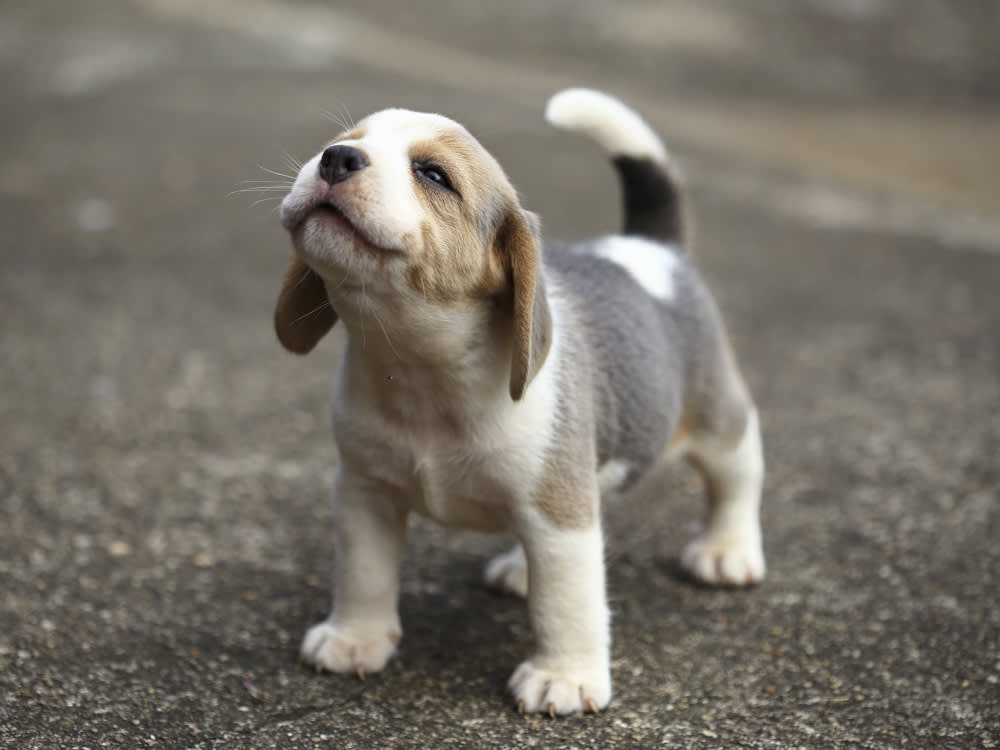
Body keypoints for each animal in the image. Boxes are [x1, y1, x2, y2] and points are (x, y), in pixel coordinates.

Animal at [274, 88, 764, 716]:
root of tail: (652, 246)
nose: (336, 159)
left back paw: (728, 550)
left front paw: (565, 677)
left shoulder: (560, 516)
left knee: (736, 478)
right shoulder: (366, 492)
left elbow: (566, 603)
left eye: (433, 174)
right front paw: (354, 638)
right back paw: (519, 569)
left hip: (718, 421)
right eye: (344, 141)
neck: (422, 370)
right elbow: (363, 573)